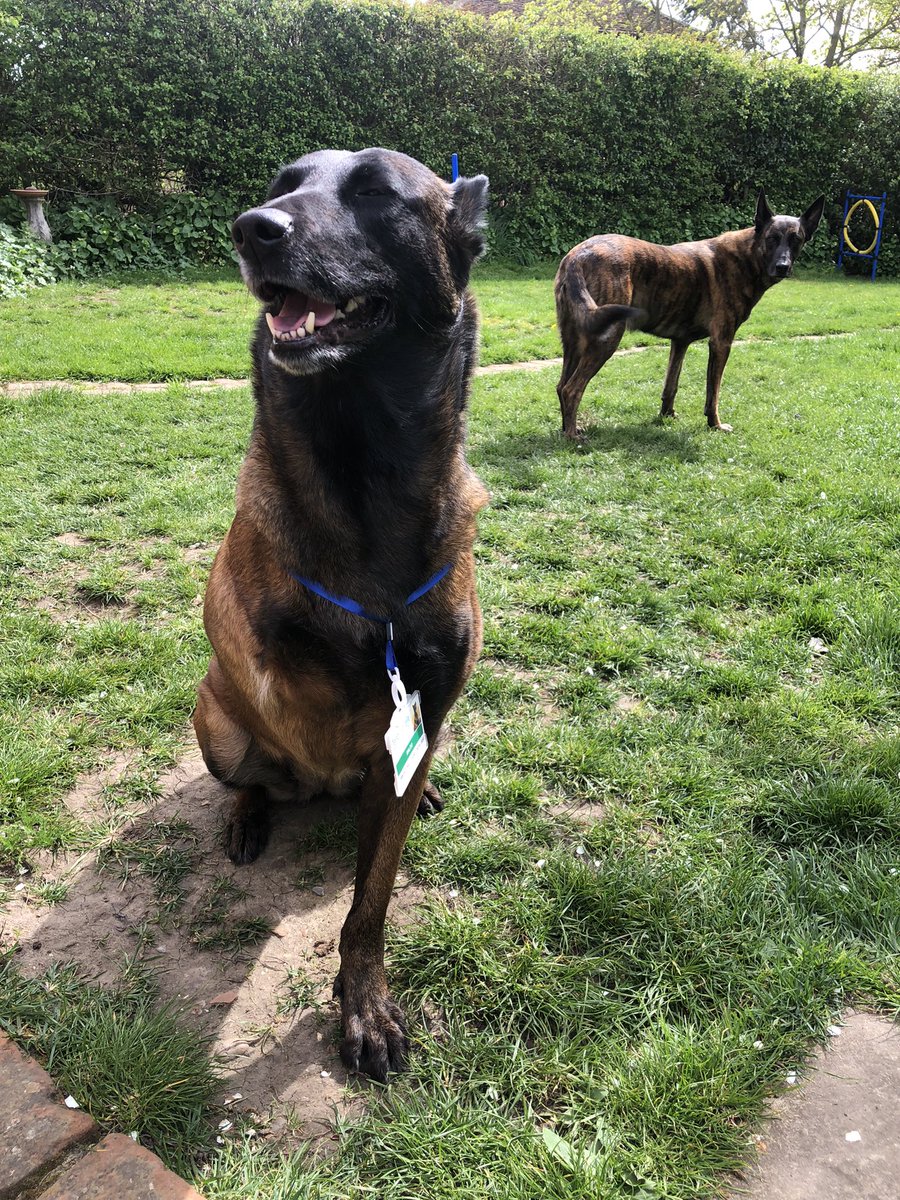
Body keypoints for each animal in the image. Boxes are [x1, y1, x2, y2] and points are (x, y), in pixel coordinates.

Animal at [193, 145, 489, 1084]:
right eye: (282, 186)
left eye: (374, 193)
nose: (253, 228)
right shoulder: (272, 658)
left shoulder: (420, 715)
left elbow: (371, 901)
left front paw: (363, 1005)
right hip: (217, 725)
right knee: (252, 775)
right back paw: (250, 814)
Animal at [561, 184, 830, 434]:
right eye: (772, 238)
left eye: (796, 240)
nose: (783, 266)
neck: (748, 257)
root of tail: (577, 256)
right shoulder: (721, 342)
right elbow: (713, 392)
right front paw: (715, 424)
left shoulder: (680, 343)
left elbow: (671, 384)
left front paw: (667, 415)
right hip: (606, 337)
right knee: (572, 389)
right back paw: (574, 437)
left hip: (573, 343)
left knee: (561, 386)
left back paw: (566, 429)